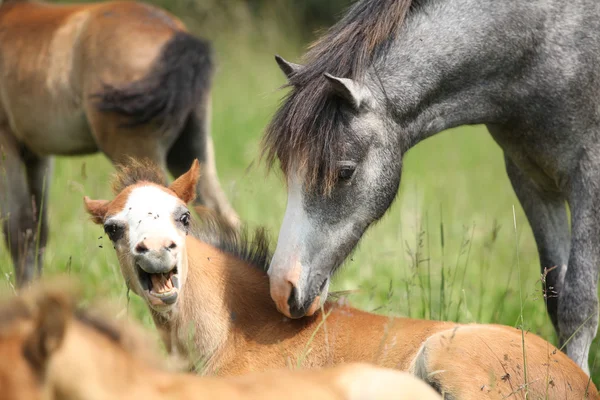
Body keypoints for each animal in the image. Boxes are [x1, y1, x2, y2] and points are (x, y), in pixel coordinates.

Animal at [264, 0, 600, 376]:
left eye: (345, 172)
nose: (282, 288)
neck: (538, 42)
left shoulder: (589, 177)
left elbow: (577, 306)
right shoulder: (532, 182)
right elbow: (555, 295)